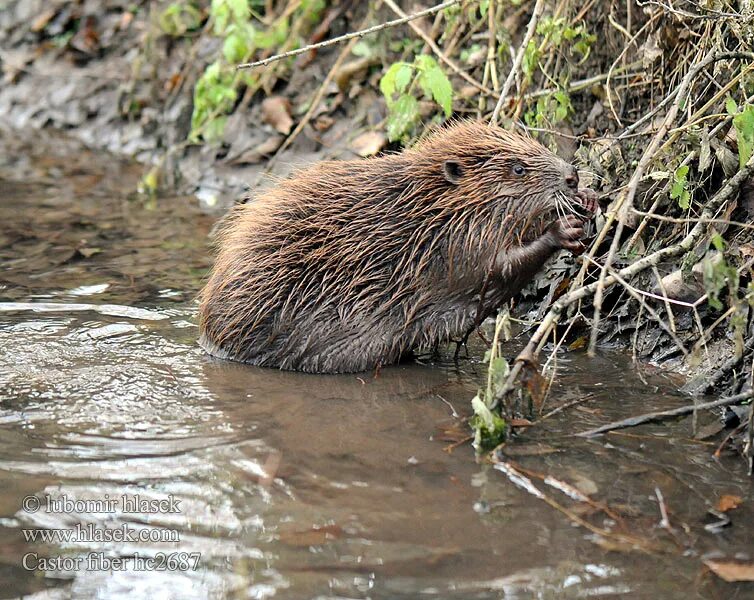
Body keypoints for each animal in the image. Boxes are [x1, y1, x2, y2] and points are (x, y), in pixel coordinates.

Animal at [198, 119, 592, 372]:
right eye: (518, 169)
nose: (572, 175)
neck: (429, 206)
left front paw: (588, 200)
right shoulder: (453, 244)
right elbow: (496, 270)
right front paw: (564, 228)